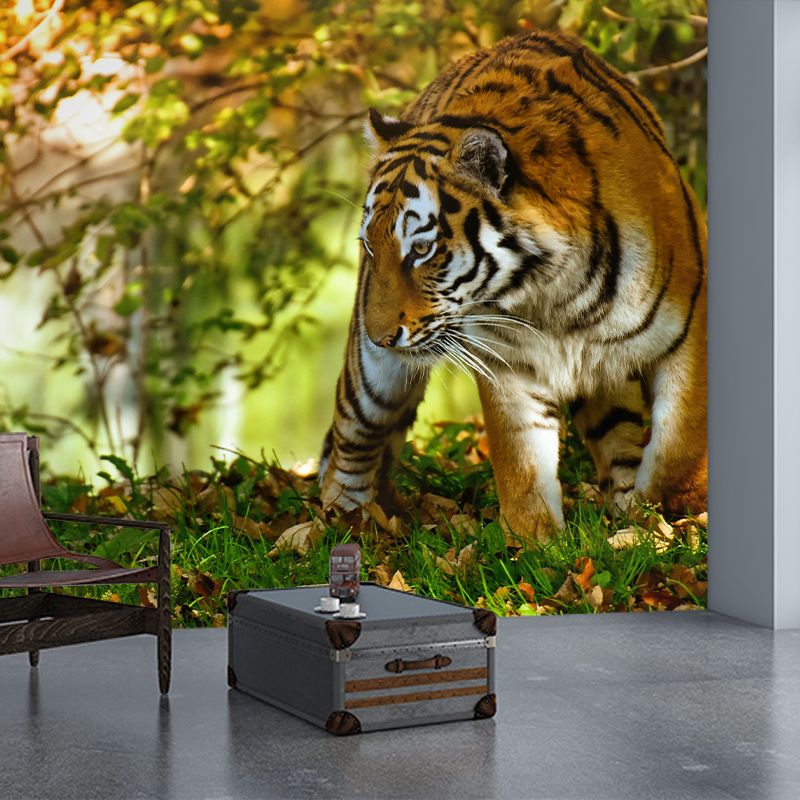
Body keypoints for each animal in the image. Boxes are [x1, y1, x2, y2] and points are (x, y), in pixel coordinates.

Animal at [318, 28, 707, 544]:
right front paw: (536, 544)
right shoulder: (507, 363)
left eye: (420, 249)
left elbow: (680, 444)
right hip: (371, 380)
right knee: (351, 441)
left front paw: (664, 518)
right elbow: (521, 463)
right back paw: (342, 524)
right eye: (369, 245)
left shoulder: (692, 325)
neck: (555, 295)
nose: (381, 335)